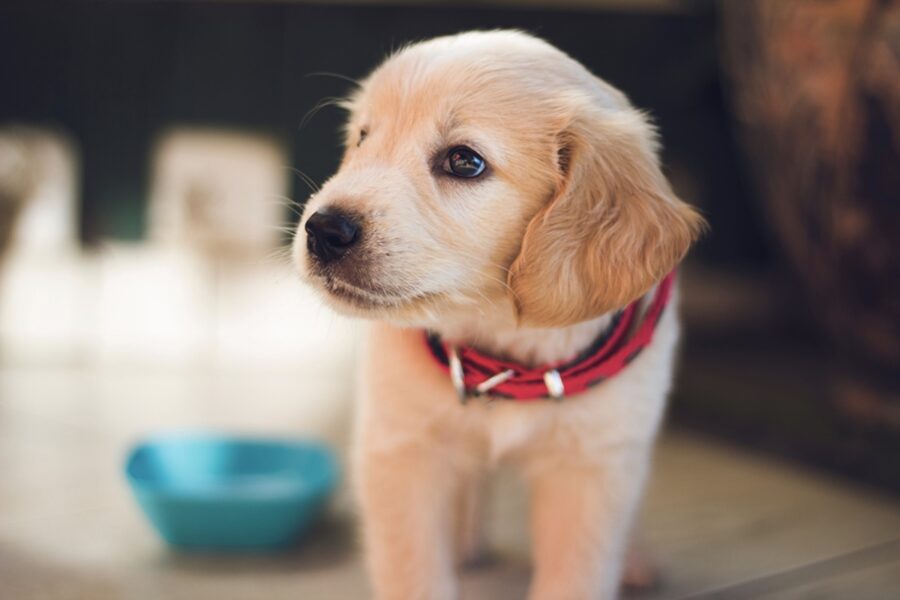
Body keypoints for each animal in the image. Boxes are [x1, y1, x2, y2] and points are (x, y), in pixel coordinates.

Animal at [294, 29, 704, 600]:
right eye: (362, 138)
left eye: (464, 162)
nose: (323, 230)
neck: (502, 347)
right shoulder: (401, 450)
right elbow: (413, 570)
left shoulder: (592, 468)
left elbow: (576, 574)